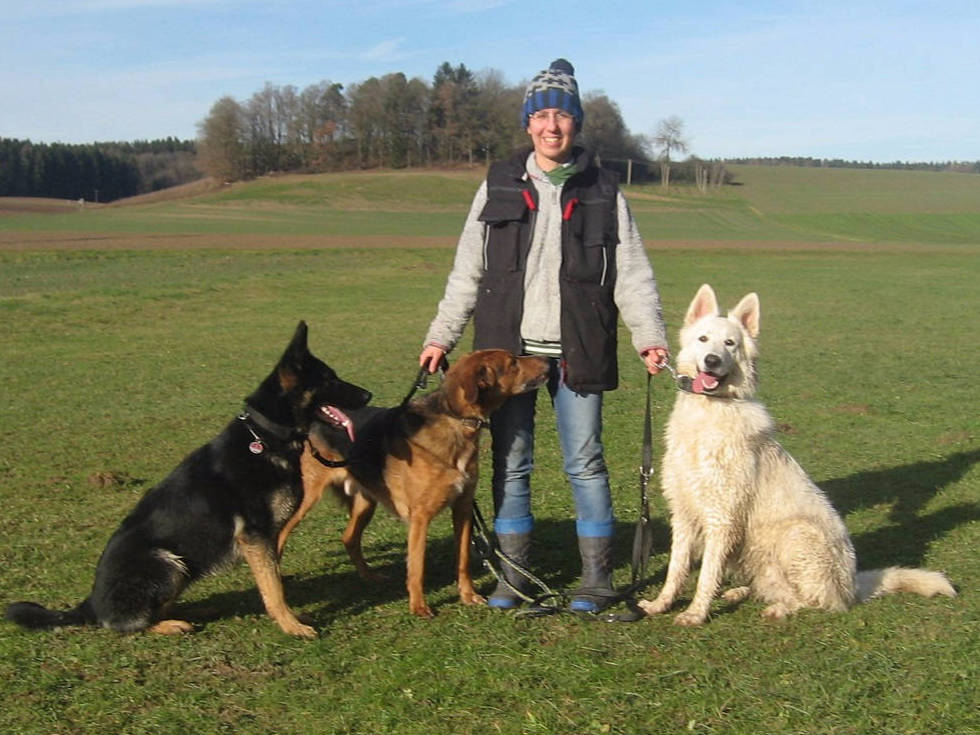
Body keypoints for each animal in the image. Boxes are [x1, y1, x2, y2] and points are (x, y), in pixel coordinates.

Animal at [298, 350, 548, 616]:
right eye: (513, 362)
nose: (548, 360)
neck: (456, 421)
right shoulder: (420, 516)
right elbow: (417, 566)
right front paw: (418, 606)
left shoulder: (463, 508)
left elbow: (463, 559)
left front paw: (468, 596)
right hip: (302, 501)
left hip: (365, 502)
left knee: (349, 538)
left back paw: (370, 577)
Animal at [640, 284, 952, 624]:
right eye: (703, 339)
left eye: (730, 344)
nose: (711, 360)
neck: (710, 410)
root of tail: (853, 587)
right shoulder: (683, 514)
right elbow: (676, 569)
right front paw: (660, 604)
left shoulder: (721, 519)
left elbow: (707, 573)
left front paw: (696, 614)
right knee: (776, 588)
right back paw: (741, 592)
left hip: (795, 535)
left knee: (813, 601)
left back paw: (779, 608)